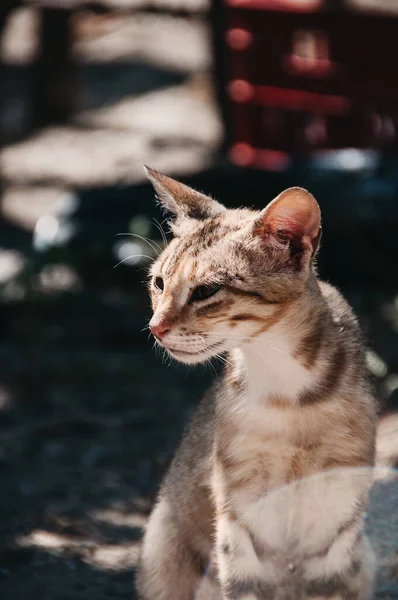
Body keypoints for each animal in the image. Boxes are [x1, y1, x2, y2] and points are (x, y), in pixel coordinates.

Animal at [136, 168, 376, 600]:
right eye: (159, 283)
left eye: (207, 290)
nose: (155, 328)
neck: (290, 395)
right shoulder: (240, 506)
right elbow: (245, 585)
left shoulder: (337, 507)